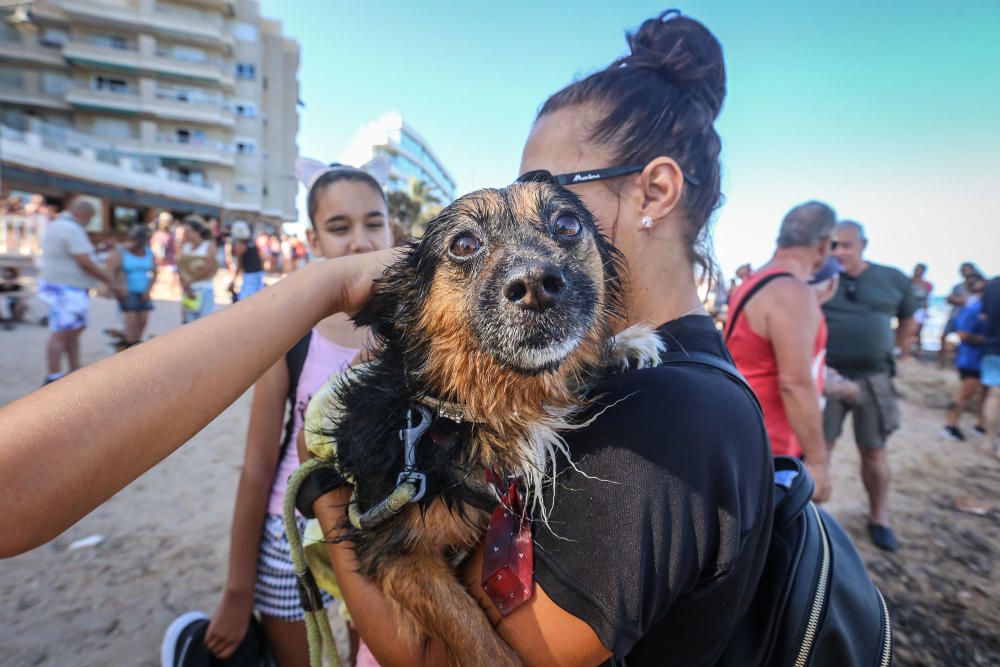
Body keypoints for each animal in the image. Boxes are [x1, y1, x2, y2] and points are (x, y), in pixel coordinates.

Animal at [312, 180, 656, 664]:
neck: (494, 406)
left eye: (568, 224)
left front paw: (625, 344)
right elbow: (470, 632)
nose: (535, 284)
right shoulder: (393, 548)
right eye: (463, 244)